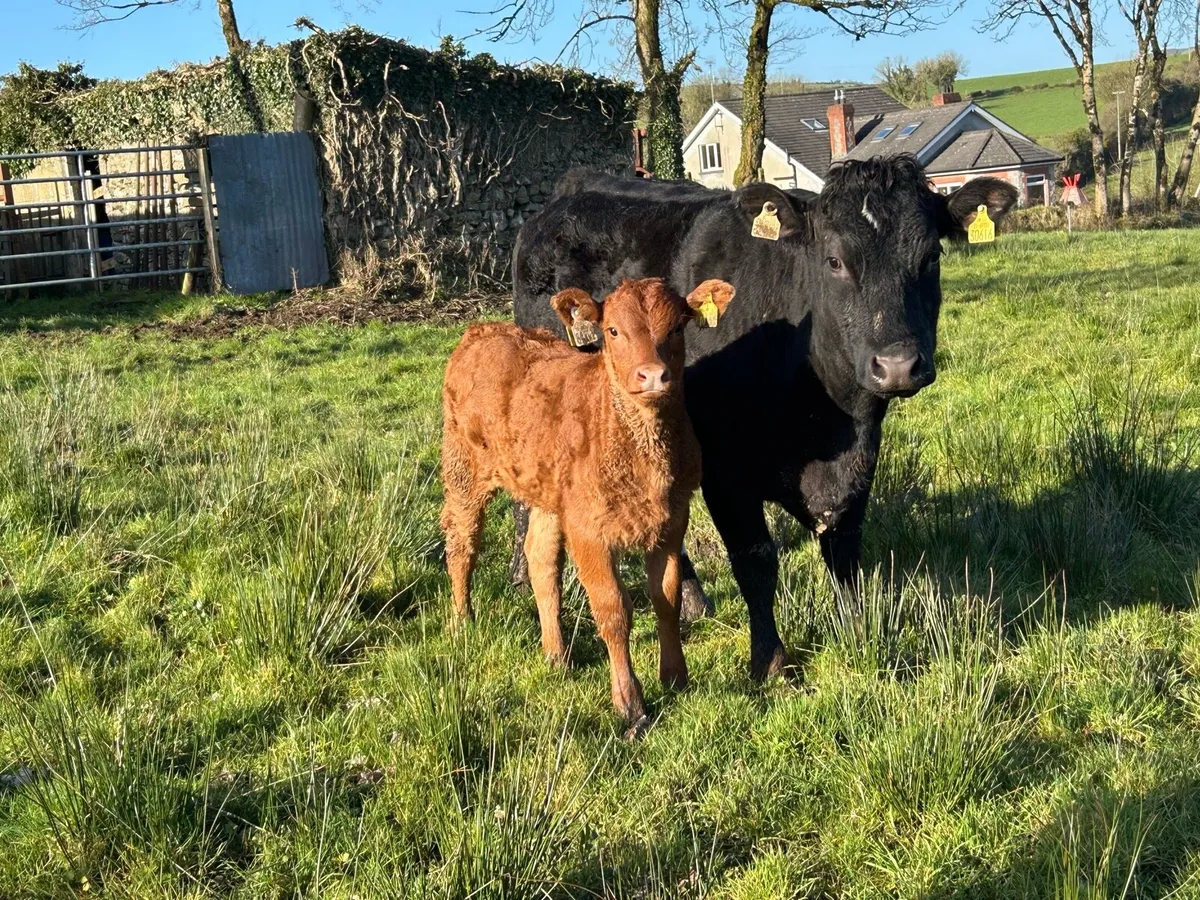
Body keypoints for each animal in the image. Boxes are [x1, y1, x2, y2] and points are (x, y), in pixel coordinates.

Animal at [441, 277, 737, 731]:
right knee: (462, 545)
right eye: (612, 331)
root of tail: (483, 329)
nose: (653, 375)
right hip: (463, 468)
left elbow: (666, 599)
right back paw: (462, 622)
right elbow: (613, 610)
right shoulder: (588, 529)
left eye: (677, 328)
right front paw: (630, 704)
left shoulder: (672, 522)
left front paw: (675, 678)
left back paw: (556, 655)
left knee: (540, 559)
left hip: (548, 492)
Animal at [508, 154, 1018, 681]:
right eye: (834, 261)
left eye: (931, 257)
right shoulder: (726, 472)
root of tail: (573, 190)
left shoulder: (859, 462)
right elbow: (756, 561)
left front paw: (858, 634)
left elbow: (844, 552)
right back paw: (523, 579)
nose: (897, 365)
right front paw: (770, 660)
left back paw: (691, 600)